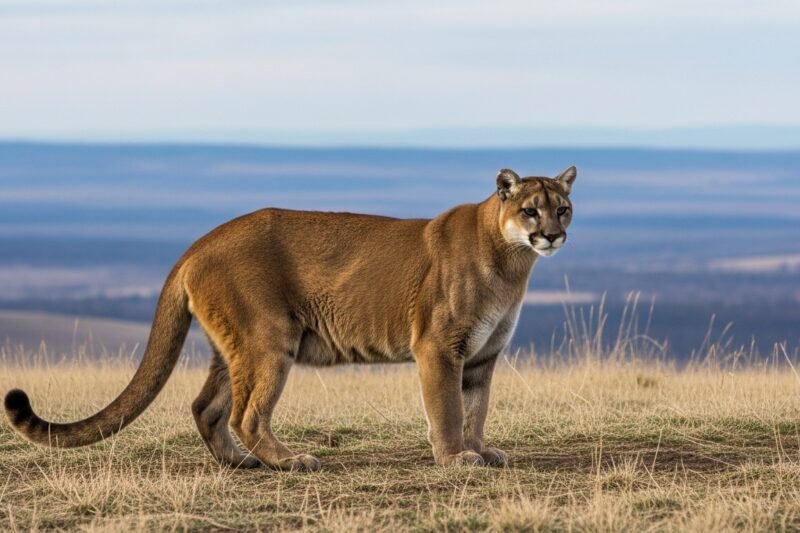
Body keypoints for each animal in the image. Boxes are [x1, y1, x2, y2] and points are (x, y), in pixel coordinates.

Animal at [5, 166, 576, 470]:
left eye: (563, 208)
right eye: (529, 209)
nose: (552, 235)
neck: (510, 261)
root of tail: (200, 241)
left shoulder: (482, 355)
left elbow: (476, 408)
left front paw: (482, 451)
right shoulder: (439, 346)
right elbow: (449, 409)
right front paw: (456, 457)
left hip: (234, 346)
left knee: (206, 407)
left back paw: (239, 462)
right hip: (269, 338)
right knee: (245, 413)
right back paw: (289, 461)